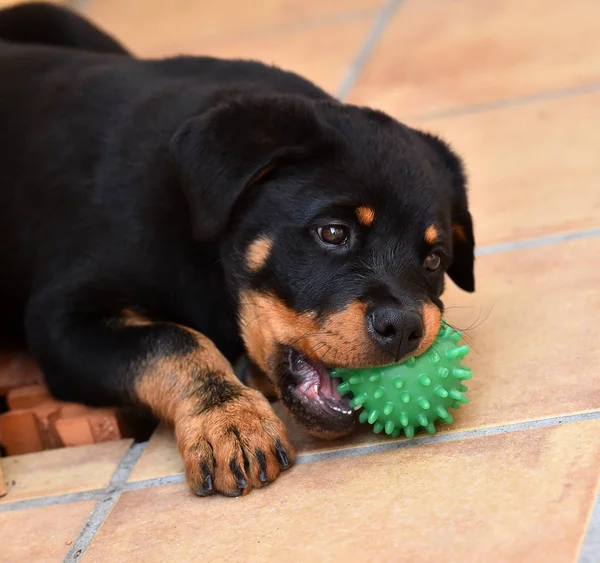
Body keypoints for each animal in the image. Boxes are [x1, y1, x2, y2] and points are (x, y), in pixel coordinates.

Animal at [0, 3, 476, 498]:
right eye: (332, 232)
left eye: (433, 260)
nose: (404, 328)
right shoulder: (59, 318)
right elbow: (172, 339)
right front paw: (228, 419)